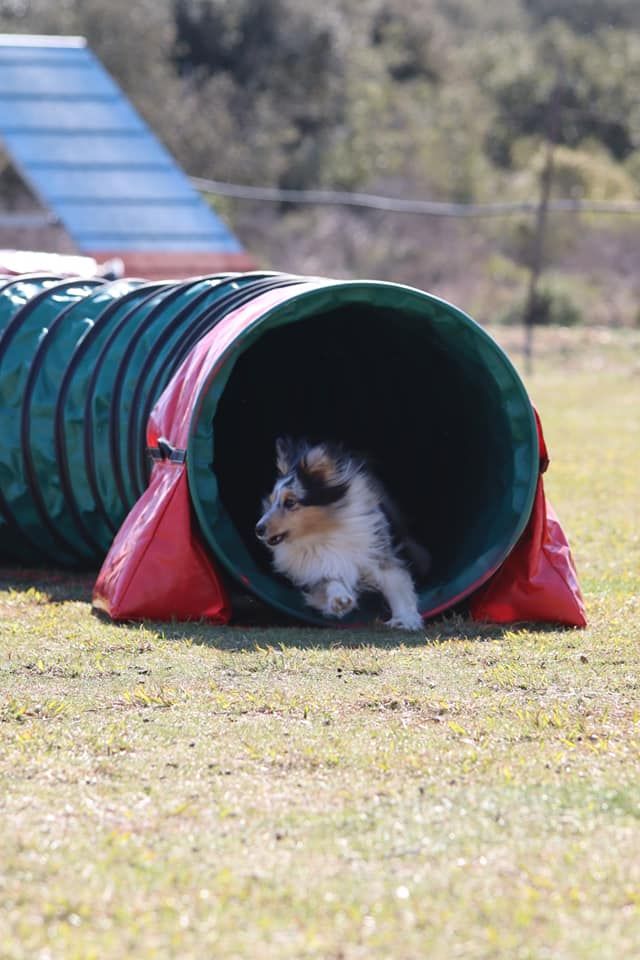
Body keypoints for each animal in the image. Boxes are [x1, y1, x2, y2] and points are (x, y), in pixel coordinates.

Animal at [254, 436, 430, 632]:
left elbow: (398, 587)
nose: (258, 529)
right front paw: (340, 600)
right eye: (271, 501)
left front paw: (407, 620)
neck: (325, 531)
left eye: (290, 502)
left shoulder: (379, 554)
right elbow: (329, 580)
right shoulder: (316, 568)